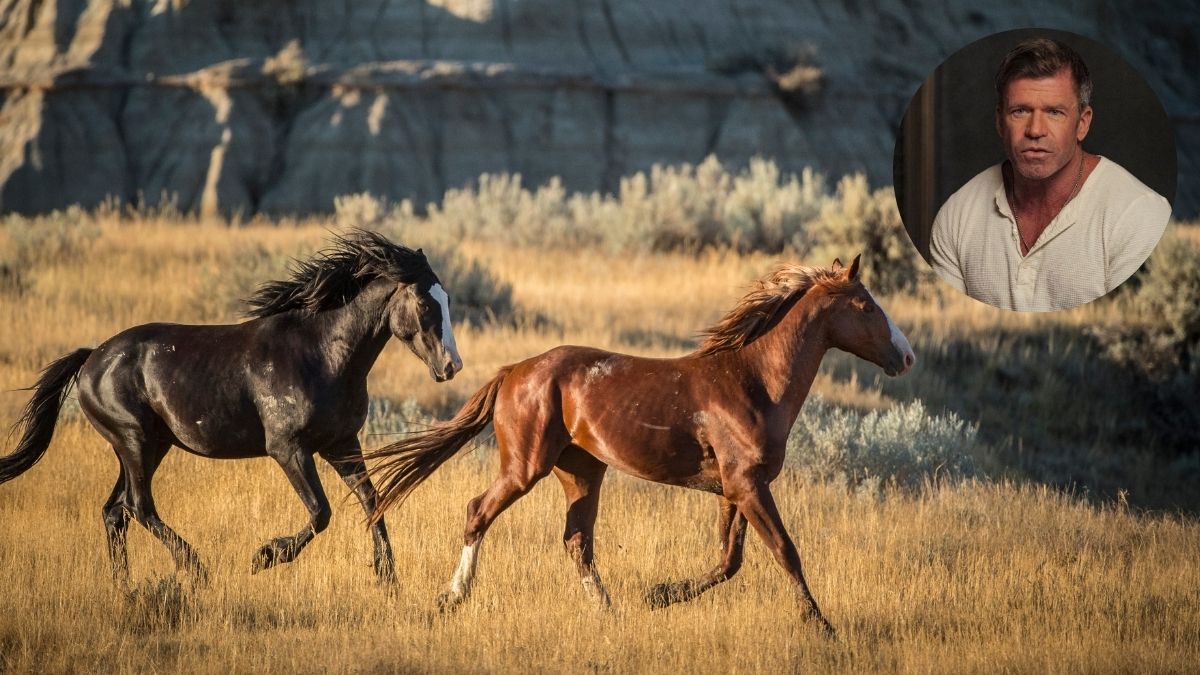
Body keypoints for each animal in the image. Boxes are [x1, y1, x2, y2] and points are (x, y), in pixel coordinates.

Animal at [0, 230, 463, 587]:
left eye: (448, 299)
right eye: (425, 304)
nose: (451, 366)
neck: (322, 354)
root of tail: (92, 358)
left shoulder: (342, 444)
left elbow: (372, 499)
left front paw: (388, 578)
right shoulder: (289, 449)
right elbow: (321, 512)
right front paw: (265, 555)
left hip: (149, 447)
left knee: (115, 512)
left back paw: (124, 587)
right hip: (135, 441)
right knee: (138, 506)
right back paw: (195, 569)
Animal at [363, 254, 914, 635]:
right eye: (866, 305)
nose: (906, 357)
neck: (753, 382)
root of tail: (513, 371)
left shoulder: (736, 490)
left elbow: (729, 560)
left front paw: (659, 594)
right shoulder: (748, 486)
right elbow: (784, 551)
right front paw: (822, 626)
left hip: (582, 472)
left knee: (577, 541)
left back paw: (609, 611)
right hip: (525, 466)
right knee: (479, 511)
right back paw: (452, 597)